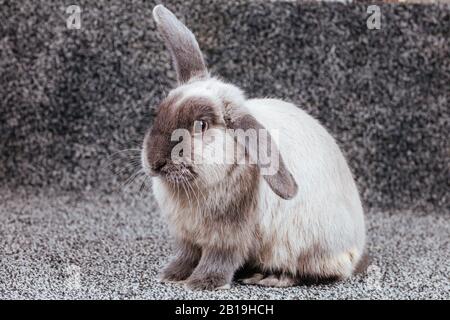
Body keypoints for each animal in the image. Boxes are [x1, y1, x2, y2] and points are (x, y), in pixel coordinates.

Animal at [141, 4, 366, 290]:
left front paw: (203, 283)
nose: (154, 162)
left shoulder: (229, 236)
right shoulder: (186, 237)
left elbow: (219, 258)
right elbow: (186, 255)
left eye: (201, 125)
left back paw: (270, 277)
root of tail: (356, 247)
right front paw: (172, 275)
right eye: (158, 113)